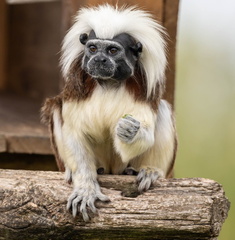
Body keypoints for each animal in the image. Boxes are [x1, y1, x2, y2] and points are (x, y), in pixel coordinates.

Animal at [40, 4, 176, 221]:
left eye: (112, 50)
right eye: (93, 48)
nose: (99, 59)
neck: (109, 83)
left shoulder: (143, 91)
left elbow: (144, 134)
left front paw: (129, 131)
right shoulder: (76, 89)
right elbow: (74, 133)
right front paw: (85, 187)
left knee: (163, 110)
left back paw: (150, 171)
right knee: (56, 109)